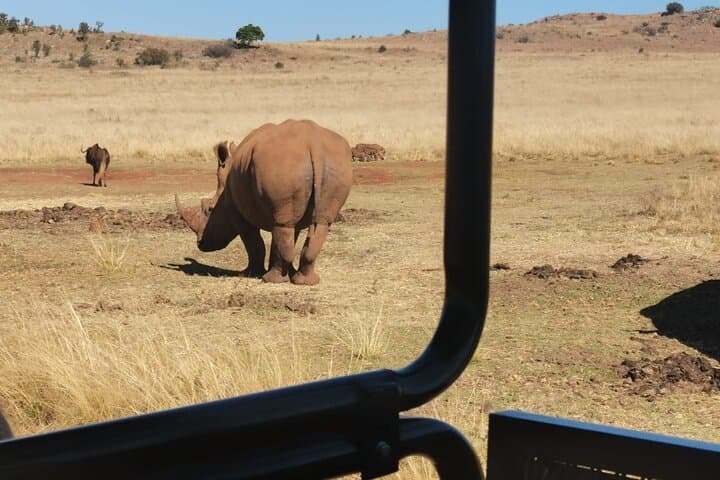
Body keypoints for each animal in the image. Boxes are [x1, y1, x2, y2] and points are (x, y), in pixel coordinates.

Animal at [175, 119, 353, 285]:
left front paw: (249, 274)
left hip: (281, 164)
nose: (200, 244)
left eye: (209, 209)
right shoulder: (279, 208)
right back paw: (304, 281)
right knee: (315, 224)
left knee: (285, 228)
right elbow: (282, 239)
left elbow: (254, 243)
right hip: (333, 165)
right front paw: (285, 273)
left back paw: (271, 279)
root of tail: (315, 145)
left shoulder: (237, 210)